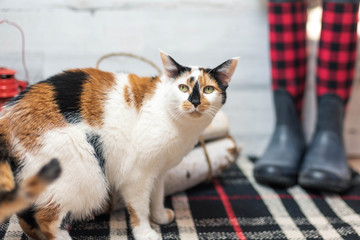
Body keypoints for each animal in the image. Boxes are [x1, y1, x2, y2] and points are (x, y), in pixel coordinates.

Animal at [0, 52, 239, 240]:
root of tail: (7, 117)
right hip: (82, 170)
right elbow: (140, 208)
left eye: (208, 89)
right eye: (183, 87)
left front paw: (160, 217)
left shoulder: (158, 171)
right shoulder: (137, 174)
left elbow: (157, 196)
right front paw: (146, 233)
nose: (195, 101)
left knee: (26, 215)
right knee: (46, 218)